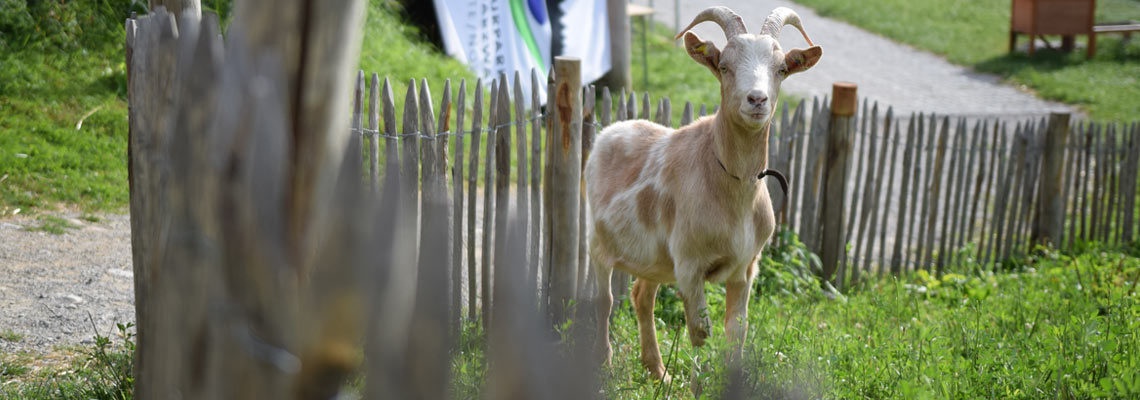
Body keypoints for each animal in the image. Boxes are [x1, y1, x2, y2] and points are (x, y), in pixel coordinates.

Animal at [588, 7, 820, 382]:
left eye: (782, 68)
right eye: (724, 65)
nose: (757, 99)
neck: (733, 190)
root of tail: (613, 129)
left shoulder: (745, 267)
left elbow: (736, 330)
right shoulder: (689, 265)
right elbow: (700, 331)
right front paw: (697, 387)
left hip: (653, 258)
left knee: (642, 297)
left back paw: (658, 372)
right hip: (598, 242)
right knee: (603, 300)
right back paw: (604, 365)